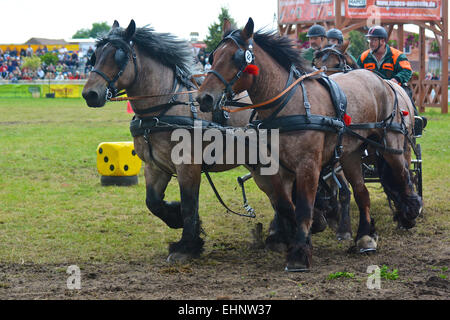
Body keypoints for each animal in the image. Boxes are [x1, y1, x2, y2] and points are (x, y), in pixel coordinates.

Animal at [81, 20, 298, 262]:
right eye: (95, 56)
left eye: (118, 56)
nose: (90, 94)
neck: (163, 108)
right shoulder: (155, 166)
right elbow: (153, 202)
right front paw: (175, 218)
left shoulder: (188, 166)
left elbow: (189, 203)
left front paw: (187, 245)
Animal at [197, 18, 422, 272]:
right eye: (214, 56)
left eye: (236, 57)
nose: (204, 98)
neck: (287, 103)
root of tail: (379, 79)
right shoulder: (276, 168)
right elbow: (285, 205)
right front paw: (298, 236)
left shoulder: (308, 165)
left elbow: (304, 206)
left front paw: (299, 253)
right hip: (351, 154)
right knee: (362, 192)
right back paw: (366, 236)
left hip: (390, 143)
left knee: (403, 174)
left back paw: (410, 210)